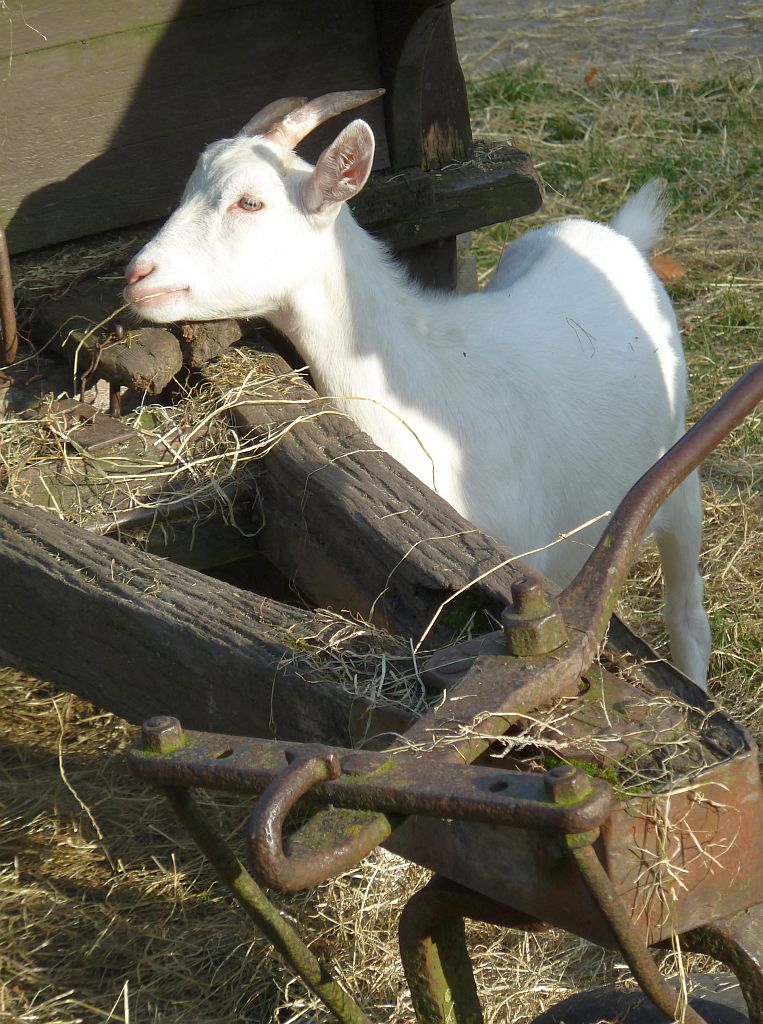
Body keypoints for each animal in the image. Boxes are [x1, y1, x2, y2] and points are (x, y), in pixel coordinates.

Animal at [121, 90, 712, 688]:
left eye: (250, 203)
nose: (137, 275)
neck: (423, 381)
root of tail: (620, 237)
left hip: (676, 472)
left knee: (687, 612)